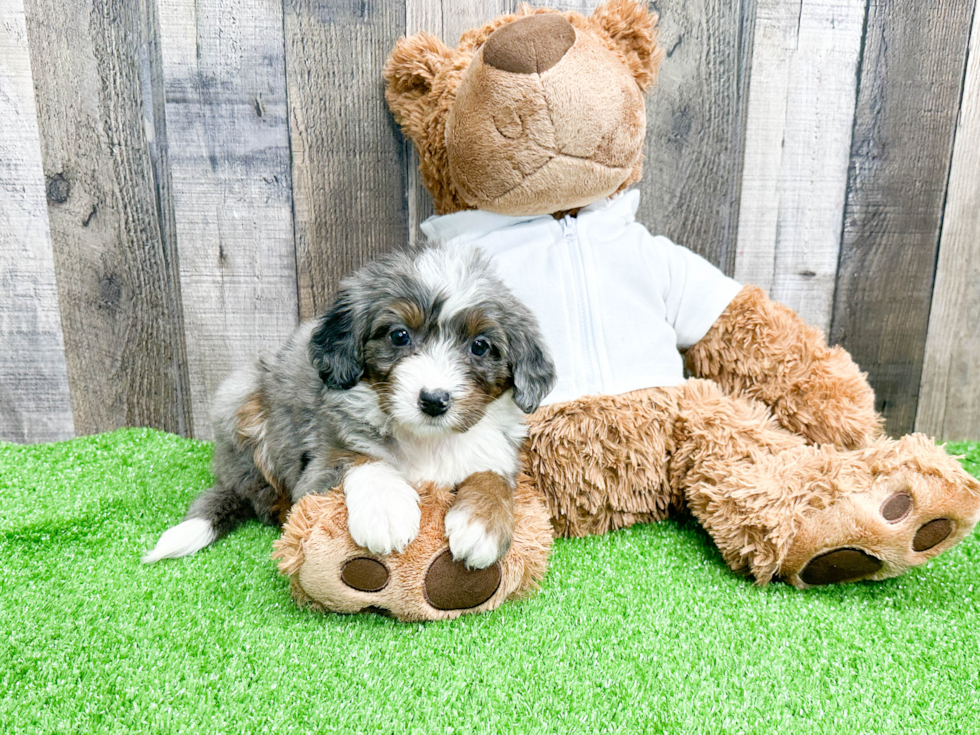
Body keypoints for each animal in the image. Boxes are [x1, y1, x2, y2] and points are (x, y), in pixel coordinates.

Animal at [145, 244, 560, 572]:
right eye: (399, 335)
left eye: (480, 346)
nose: (434, 401)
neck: (428, 441)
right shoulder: (321, 464)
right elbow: (362, 459)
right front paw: (387, 511)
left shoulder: (496, 452)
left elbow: (491, 477)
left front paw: (481, 525)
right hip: (241, 402)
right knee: (260, 492)